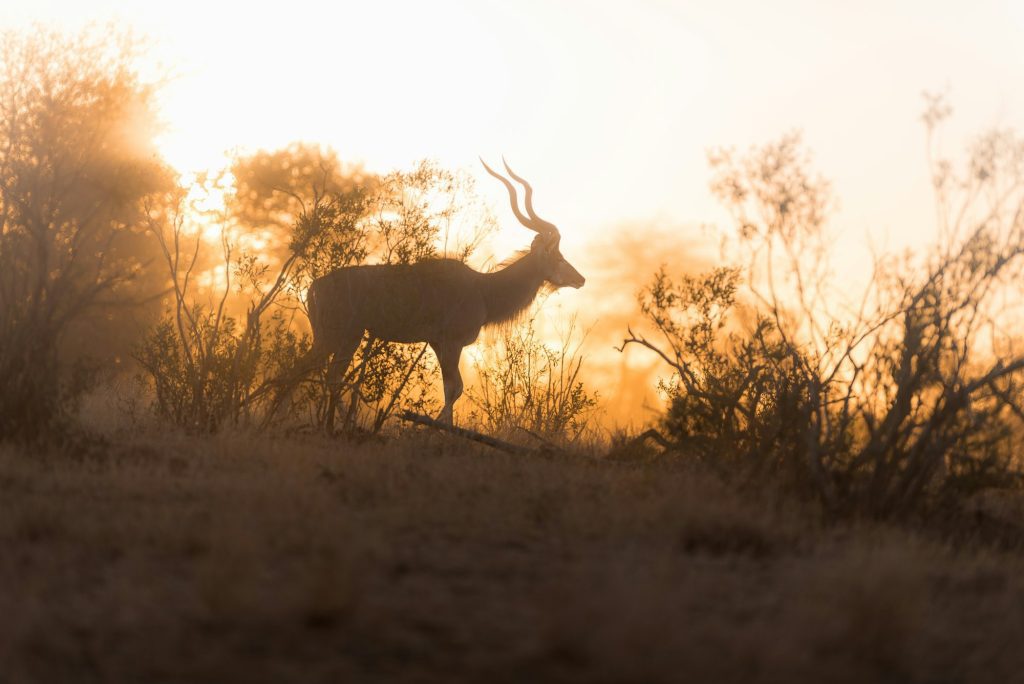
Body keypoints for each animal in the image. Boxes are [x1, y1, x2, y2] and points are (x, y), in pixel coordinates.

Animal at [306, 159, 585, 426]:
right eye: (559, 257)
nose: (580, 279)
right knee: (321, 371)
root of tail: (315, 286)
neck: (483, 291)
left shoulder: (437, 343)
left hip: (339, 337)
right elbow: (455, 388)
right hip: (344, 335)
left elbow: (449, 387)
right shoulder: (452, 342)